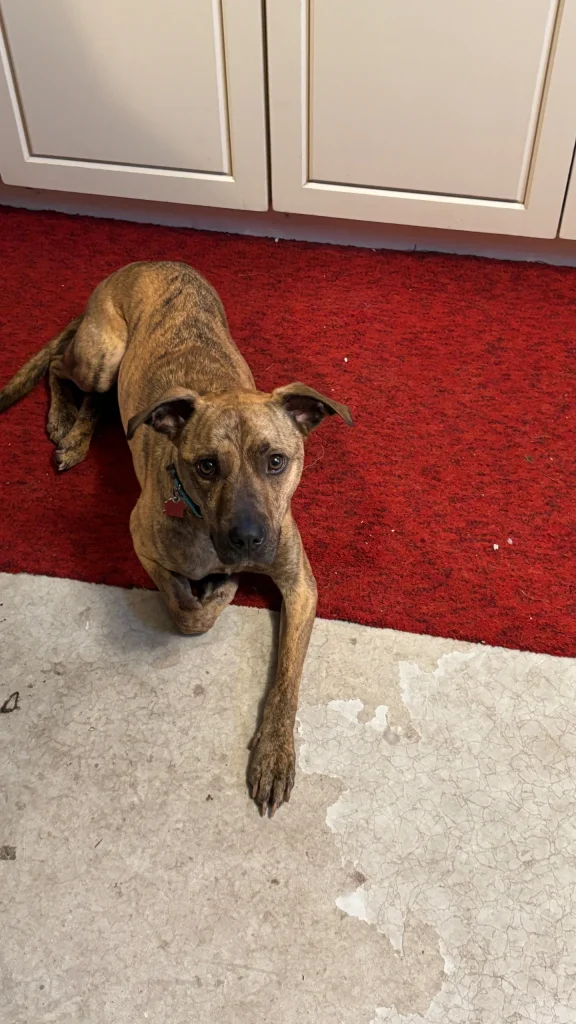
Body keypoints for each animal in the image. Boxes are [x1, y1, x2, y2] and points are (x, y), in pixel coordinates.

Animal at [0, 261, 352, 814]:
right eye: (206, 466)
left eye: (276, 461)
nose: (248, 540)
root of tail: (138, 265)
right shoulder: (142, 545)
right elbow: (188, 611)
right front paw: (220, 590)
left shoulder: (300, 586)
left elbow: (287, 680)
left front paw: (275, 753)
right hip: (103, 355)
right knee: (61, 368)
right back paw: (66, 427)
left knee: (98, 402)